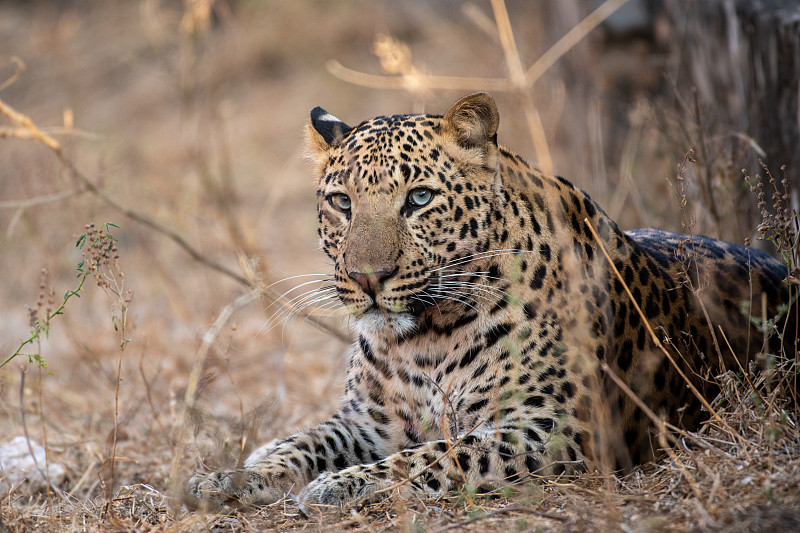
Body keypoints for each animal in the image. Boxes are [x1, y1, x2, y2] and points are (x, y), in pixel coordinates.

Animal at [186, 92, 792, 512]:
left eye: (419, 199)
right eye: (341, 203)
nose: (367, 278)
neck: (424, 339)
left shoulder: (552, 429)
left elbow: (438, 454)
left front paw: (340, 485)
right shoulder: (370, 424)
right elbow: (303, 442)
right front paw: (228, 477)